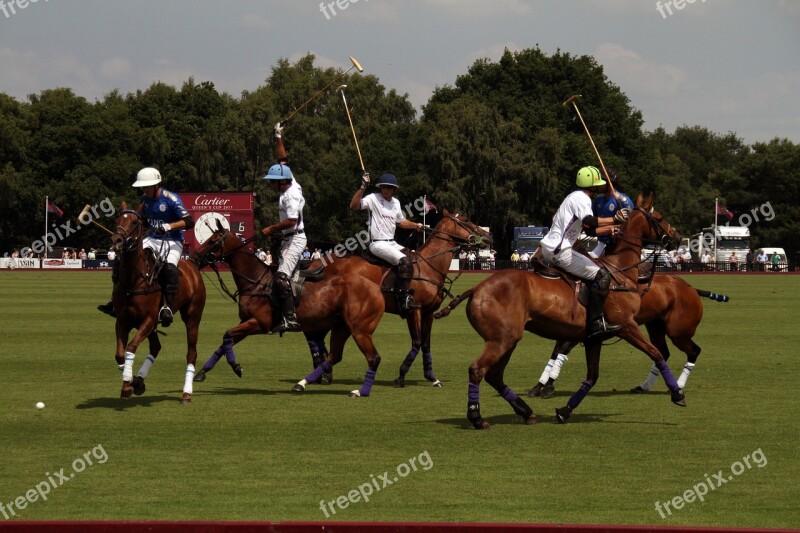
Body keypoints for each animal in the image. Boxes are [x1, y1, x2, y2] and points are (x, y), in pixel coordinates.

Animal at [109, 204, 206, 404]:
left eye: (135, 222)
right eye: (117, 220)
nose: (117, 240)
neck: (134, 279)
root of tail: (192, 265)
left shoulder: (149, 318)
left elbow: (130, 347)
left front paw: (129, 384)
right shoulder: (123, 319)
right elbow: (120, 354)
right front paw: (130, 383)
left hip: (192, 316)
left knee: (191, 353)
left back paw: (186, 393)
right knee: (156, 346)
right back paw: (139, 380)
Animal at [189, 223, 386, 394]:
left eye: (212, 241)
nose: (192, 258)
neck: (255, 281)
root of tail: (376, 289)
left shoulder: (260, 324)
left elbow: (227, 334)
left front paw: (237, 367)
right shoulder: (246, 321)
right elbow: (225, 340)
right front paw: (202, 372)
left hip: (360, 330)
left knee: (373, 358)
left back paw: (360, 391)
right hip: (341, 327)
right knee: (335, 355)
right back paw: (302, 383)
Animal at [308, 210, 494, 388]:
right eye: (466, 220)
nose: (489, 236)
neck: (429, 267)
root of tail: (315, 263)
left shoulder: (428, 313)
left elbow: (426, 344)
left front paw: (432, 377)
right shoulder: (414, 309)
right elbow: (417, 342)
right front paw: (401, 376)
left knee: (317, 336)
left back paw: (323, 372)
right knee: (314, 336)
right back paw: (322, 372)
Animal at [438, 193, 680, 426]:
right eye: (659, 218)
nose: (676, 237)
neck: (620, 271)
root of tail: (476, 288)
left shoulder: (594, 338)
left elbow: (592, 377)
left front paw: (564, 411)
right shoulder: (626, 326)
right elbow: (656, 353)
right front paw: (677, 393)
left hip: (507, 339)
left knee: (495, 376)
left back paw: (526, 412)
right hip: (501, 339)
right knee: (477, 370)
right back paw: (476, 417)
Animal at [532, 276, 732, 396]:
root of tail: (691, 288)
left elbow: (562, 349)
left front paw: (548, 384)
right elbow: (557, 351)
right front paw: (540, 385)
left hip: (678, 331)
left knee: (693, 351)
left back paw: (679, 385)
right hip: (655, 325)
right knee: (662, 351)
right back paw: (644, 386)